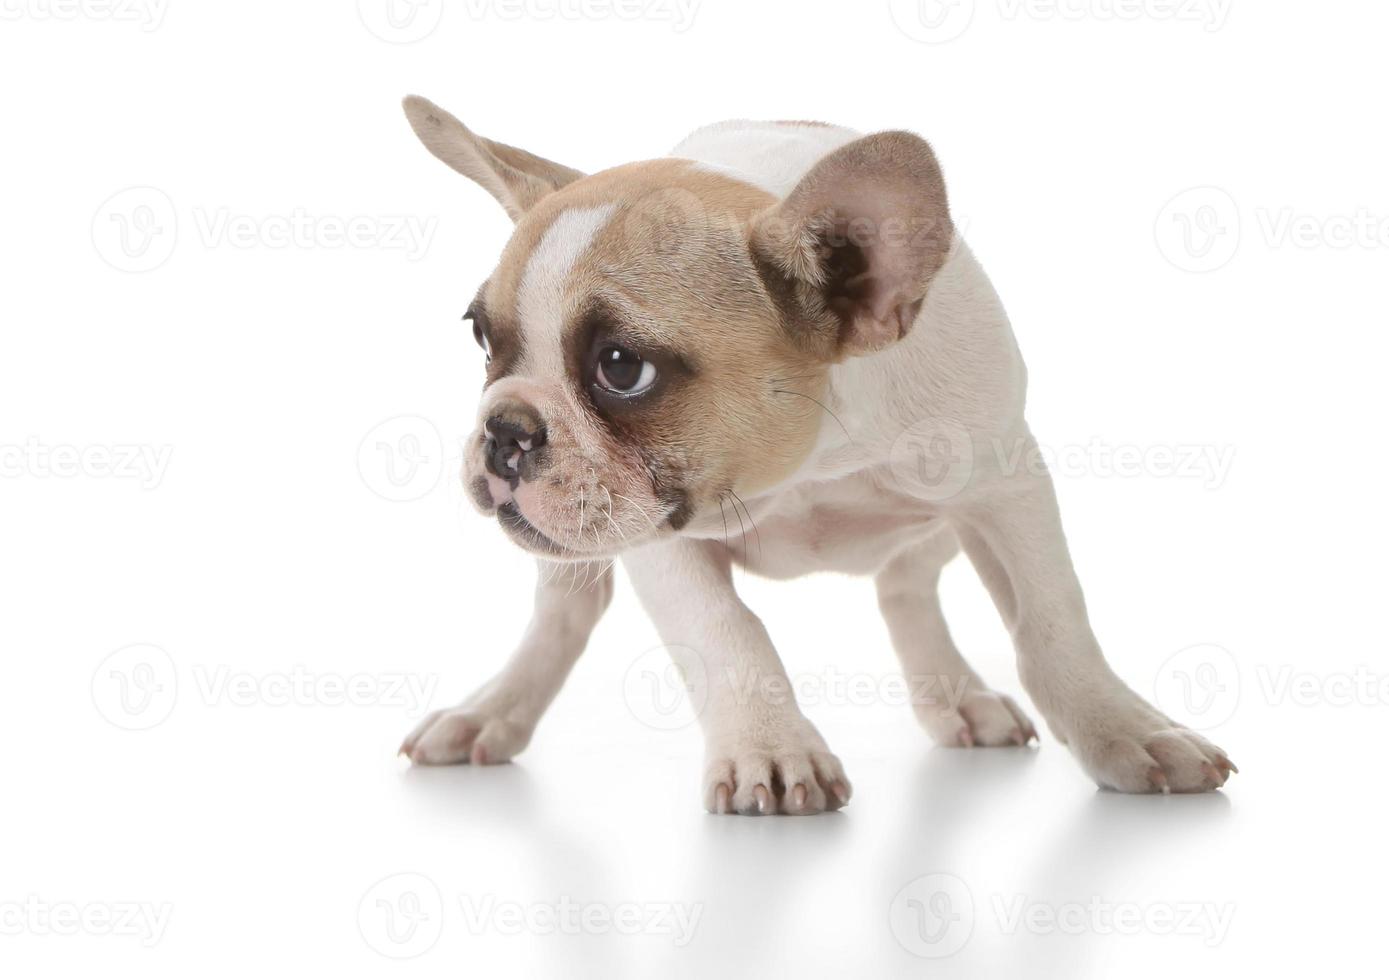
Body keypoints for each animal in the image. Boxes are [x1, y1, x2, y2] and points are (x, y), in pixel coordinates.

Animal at [394, 93, 1238, 810]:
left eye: (621, 367)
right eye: (481, 337)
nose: (504, 430)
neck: (814, 459)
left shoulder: (1003, 486)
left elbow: (1052, 619)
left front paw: (1123, 731)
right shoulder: (655, 535)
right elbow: (725, 629)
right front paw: (770, 750)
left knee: (906, 585)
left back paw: (954, 694)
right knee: (565, 614)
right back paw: (491, 712)